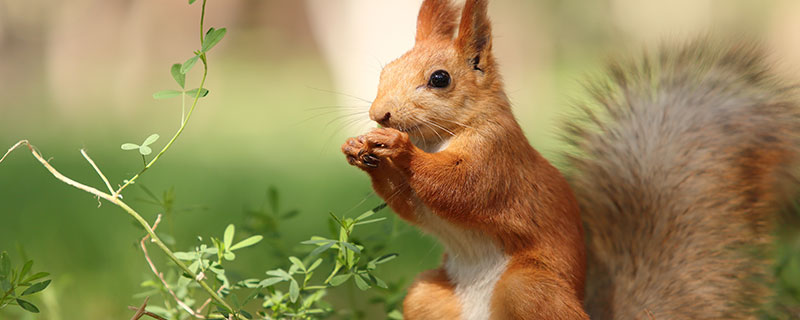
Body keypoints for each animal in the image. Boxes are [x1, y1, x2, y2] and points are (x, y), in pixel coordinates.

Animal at [340, 0, 800, 318]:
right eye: (385, 72)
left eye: (440, 79)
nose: (380, 114)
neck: (438, 140)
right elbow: (411, 205)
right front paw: (359, 150)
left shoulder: (498, 158)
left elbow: (462, 188)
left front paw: (400, 150)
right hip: (428, 297)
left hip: (529, 288)